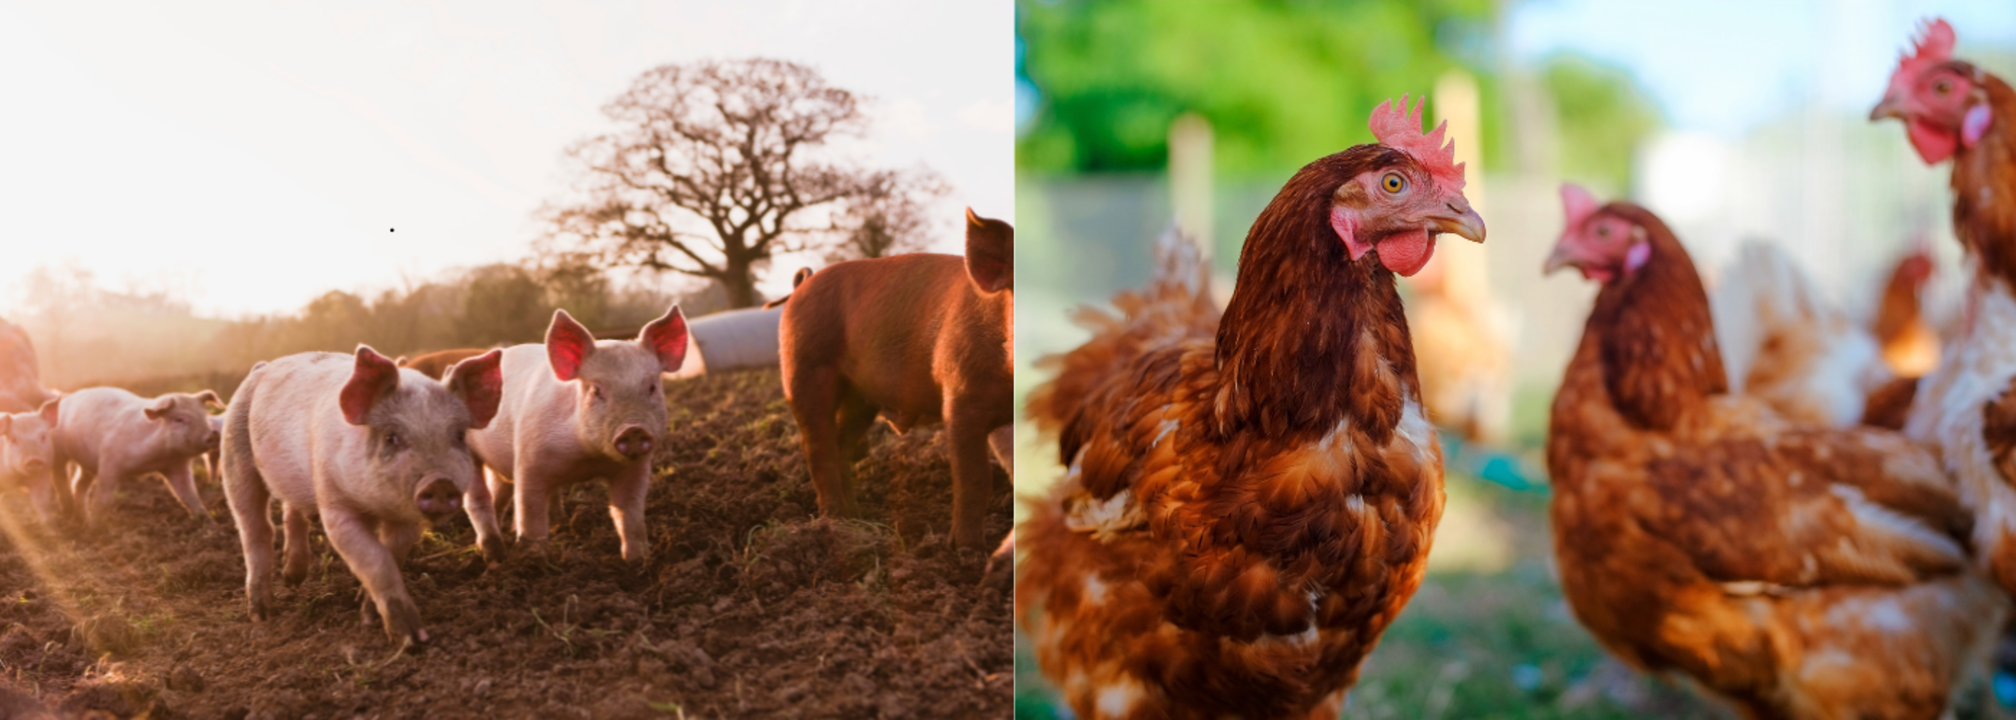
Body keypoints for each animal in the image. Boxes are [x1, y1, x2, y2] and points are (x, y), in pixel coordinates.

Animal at [53, 387, 224, 526]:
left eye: (204, 416)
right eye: (179, 419)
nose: (213, 435)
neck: (157, 457)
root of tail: (68, 396)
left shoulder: (177, 466)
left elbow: (190, 497)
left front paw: (213, 526)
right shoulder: (109, 461)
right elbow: (103, 499)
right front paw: (94, 530)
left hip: (87, 463)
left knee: (78, 484)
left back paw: (82, 518)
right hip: (58, 452)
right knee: (61, 477)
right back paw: (72, 513)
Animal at [223, 346, 504, 646]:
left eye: (460, 436)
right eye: (391, 437)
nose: (440, 481)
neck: (375, 506)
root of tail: (262, 367)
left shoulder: (405, 519)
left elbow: (392, 555)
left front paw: (368, 614)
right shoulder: (335, 504)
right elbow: (375, 558)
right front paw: (411, 638)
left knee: (292, 513)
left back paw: (292, 580)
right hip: (235, 456)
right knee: (256, 529)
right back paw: (261, 615)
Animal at [467, 306, 687, 562]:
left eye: (652, 387)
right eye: (596, 390)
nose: (633, 429)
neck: (588, 458)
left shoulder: (636, 468)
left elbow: (629, 514)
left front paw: (638, 560)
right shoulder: (528, 461)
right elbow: (531, 515)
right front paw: (534, 560)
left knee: (499, 495)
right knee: (479, 500)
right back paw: (492, 553)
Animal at [777, 208, 1013, 551]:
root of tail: (802, 285)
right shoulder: (959, 397)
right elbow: (976, 476)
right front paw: (966, 550)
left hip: (861, 397)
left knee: (841, 444)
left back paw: (857, 517)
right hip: (805, 368)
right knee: (816, 445)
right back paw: (836, 521)